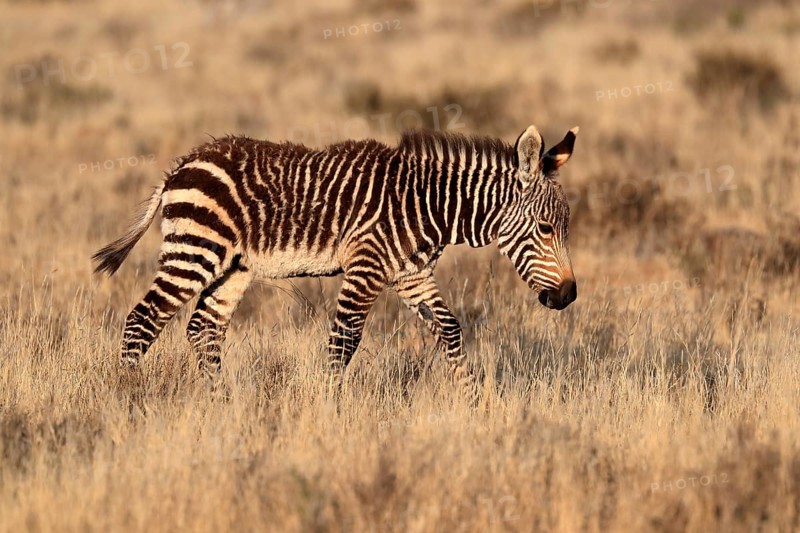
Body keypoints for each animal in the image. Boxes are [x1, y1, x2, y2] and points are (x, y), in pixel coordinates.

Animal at [93, 124, 579, 399]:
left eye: (564, 228)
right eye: (545, 229)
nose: (569, 296)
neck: (427, 204)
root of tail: (181, 165)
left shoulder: (412, 275)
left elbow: (451, 331)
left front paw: (474, 402)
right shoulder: (367, 266)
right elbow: (343, 342)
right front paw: (330, 407)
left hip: (232, 267)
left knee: (203, 328)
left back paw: (219, 401)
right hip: (195, 250)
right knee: (142, 320)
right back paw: (127, 397)